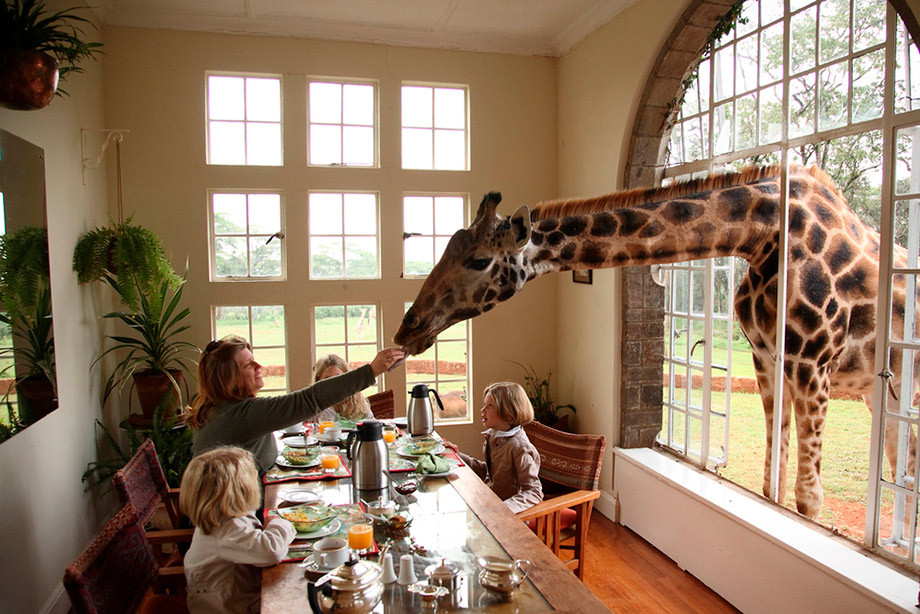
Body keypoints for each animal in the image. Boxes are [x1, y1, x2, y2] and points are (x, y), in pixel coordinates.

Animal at [394, 165, 920, 520]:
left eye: (480, 260)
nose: (406, 330)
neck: (762, 235)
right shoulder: (769, 361)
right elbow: (774, 480)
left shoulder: (814, 364)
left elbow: (807, 500)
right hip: (885, 392)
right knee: (904, 463)